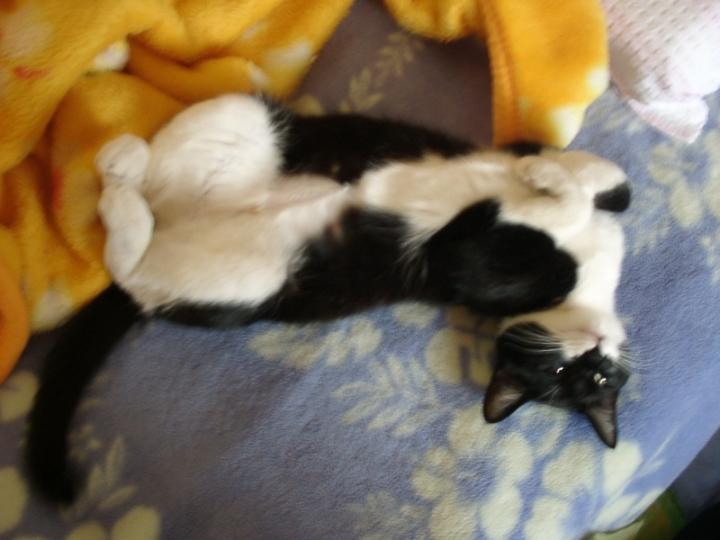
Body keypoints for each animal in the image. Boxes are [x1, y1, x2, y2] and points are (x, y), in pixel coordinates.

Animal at [25, 94, 630, 505]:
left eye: (589, 381)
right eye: (566, 373)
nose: (596, 349)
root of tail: (179, 218)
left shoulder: (465, 255)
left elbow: (586, 199)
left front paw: (552, 184)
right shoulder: (484, 228)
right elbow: (609, 184)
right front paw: (548, 172)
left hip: (251, 279)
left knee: (135, 266)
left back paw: (123, 193)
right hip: (250, 119)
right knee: (148, 198)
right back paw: (120, 157)